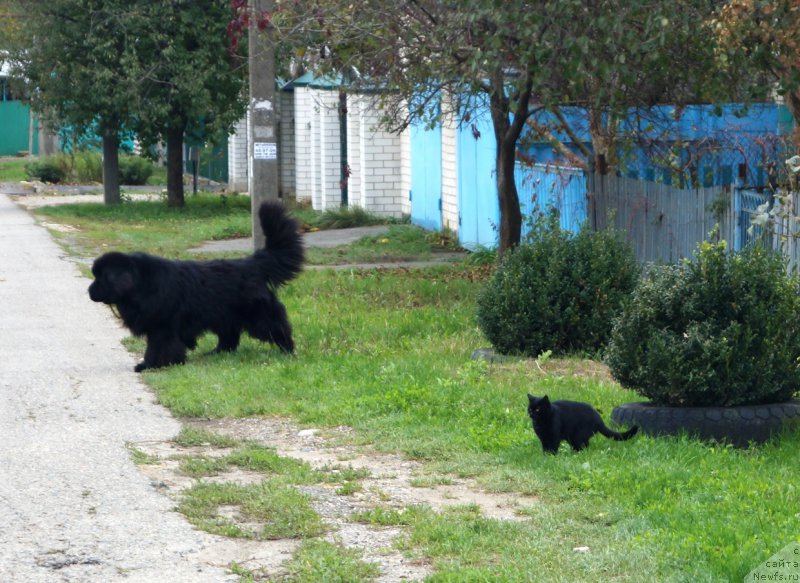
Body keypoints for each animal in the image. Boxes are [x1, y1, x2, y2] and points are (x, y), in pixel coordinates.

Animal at [88, 201, 304, 372]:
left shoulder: (163, 327)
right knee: (229, 338)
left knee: (278, 329)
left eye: (101, 278)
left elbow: (158, 347)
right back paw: (216, 353)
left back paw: (288, 351)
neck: (141, 285)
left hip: (258, 315)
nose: (89, 291)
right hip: (224, 316)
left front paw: (151, 365)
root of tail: (251, 263)